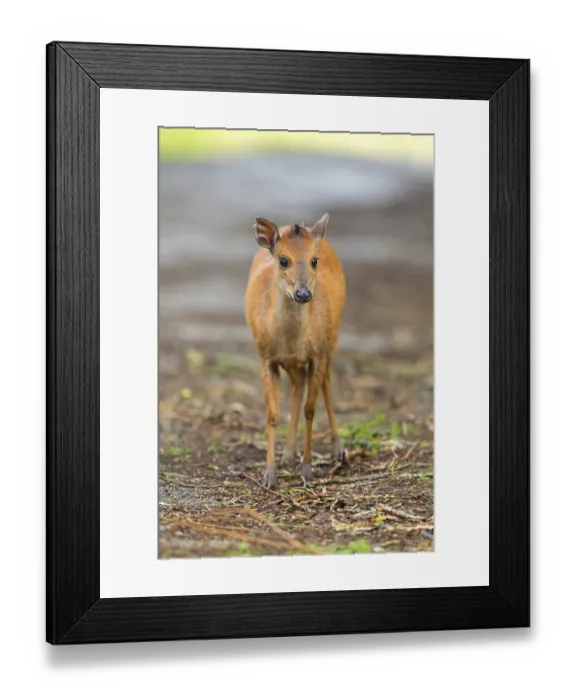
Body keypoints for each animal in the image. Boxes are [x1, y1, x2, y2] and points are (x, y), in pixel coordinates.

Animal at [245, 214, 346, 488]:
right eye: (283, 259)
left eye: (314, 260)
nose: (303, 293)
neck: (290, 340)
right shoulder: (265, 357)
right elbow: (272, 414)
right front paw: (269, 476)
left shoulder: (317, 353)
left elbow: (310, 410)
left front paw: (308, 471)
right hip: (293, 362)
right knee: (298, 386)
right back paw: (288, 456)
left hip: (332, 338)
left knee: (326, 384)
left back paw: (338, 450)